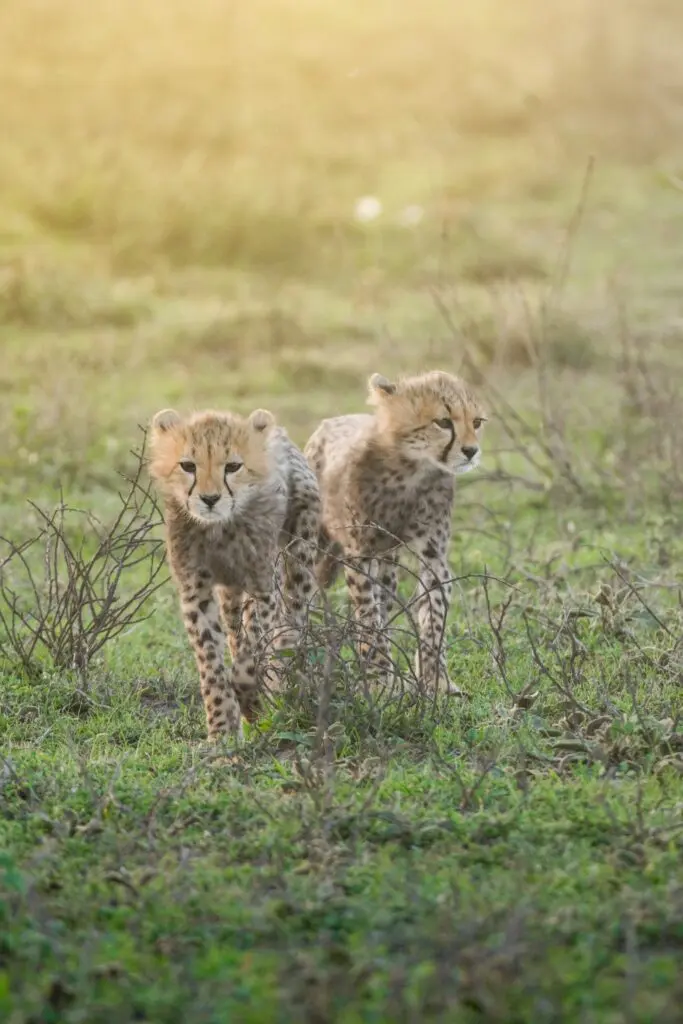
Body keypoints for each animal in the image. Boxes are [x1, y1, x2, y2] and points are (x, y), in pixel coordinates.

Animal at [149, 406, 321, 741]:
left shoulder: (261, 585)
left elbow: (251, 651)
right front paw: (221, 731)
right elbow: (212, 662)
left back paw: (280, 681)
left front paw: (251, 700)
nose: (210, 499)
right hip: (230, 594)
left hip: (298, 559)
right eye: (188, 465)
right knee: (233, 632)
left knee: (291, 622)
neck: (219, 529)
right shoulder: (196, 589)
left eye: (233, 466)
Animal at [304, 369, 486, 695]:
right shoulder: (359, 555)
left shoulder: (433, 556)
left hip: (387, 562)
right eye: (443, 422)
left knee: (385, 601)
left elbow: (434, 617)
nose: (471, 451)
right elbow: (369, 621)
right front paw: (379, 682)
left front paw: (436, 681)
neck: (410, 468)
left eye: (476, 422)